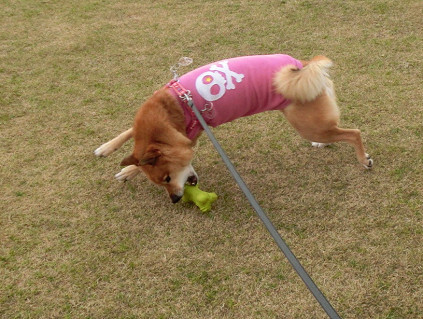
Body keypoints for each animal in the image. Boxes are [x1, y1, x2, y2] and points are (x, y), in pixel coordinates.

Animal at [94, 54, 372, 202]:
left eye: (167, 179)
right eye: (162, 184)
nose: (175, 200)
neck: (168, 112)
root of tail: (303, 66)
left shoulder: (188, 137)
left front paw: (129, 171)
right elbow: (128, 132)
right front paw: (107, 150)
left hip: (307, 125)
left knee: (354, 133)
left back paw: (363, 160)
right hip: (314, 123)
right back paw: (323, 144)